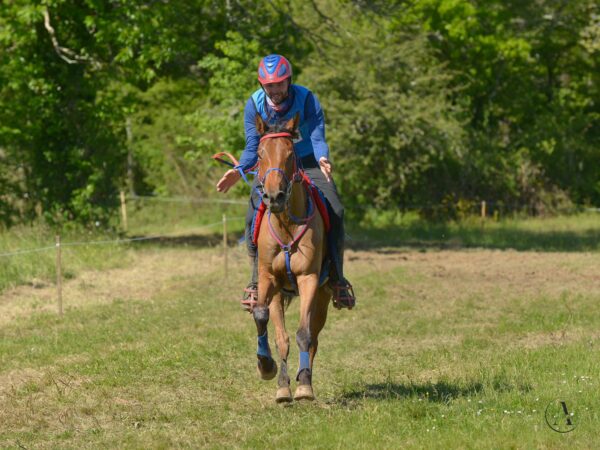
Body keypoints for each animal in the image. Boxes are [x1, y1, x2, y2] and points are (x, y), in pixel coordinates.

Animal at [251, 111, 330, 400]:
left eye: (289, 153)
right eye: (260, 153)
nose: (274, 196)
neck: (286, 225)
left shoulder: (308, 278)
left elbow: (304, 334)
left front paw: (303, 386)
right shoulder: (269, 279)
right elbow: (268, 324)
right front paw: (270, 370)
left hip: (323, 294)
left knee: (314, 337)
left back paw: (304, 378)